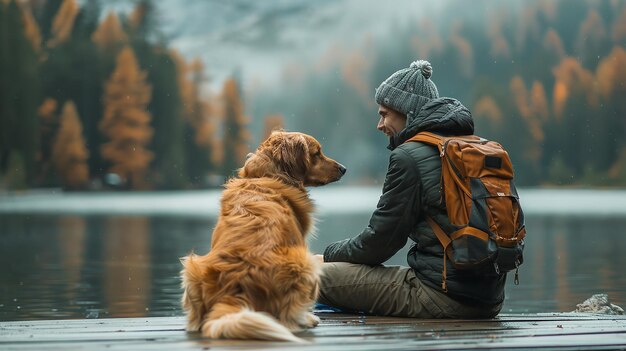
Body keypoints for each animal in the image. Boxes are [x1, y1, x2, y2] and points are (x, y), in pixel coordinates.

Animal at [180, 131, 344, 342]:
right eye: (317, 153)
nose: (344, 169)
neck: (266, 176)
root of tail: (235, 290)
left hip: (192, 268)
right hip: (306, 263)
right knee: (288, 319)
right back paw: (308, 319)